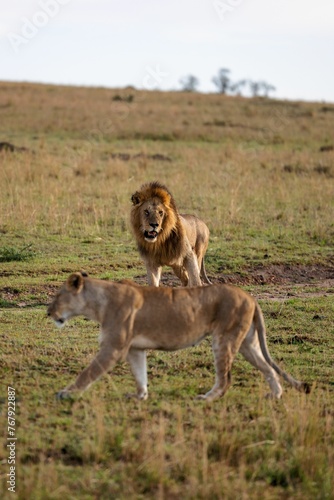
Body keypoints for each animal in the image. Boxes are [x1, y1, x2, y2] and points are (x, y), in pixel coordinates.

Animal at [47, 272, 310, 400]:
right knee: (267, 367)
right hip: (247, 342)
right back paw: (275, 395)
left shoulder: (113, 348)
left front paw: (67, 393)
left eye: (58, 296)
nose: (48, 312)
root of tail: (251, 297)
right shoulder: (134, 349)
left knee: (225, 378)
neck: (97, 303)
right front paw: (140, 396)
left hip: (223, 338)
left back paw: (207, 398)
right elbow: (140, 374)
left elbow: (88, 373)